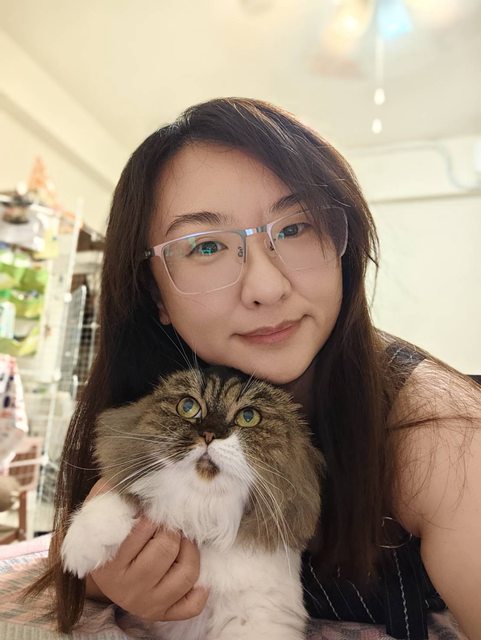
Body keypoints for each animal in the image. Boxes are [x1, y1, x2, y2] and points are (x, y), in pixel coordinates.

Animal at [61, 366, 323, 640]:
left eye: (248, 417)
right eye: (188, 407)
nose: (209, 435)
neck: (203, 515)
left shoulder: (257, 617)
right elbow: (124, 496)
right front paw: (81, 548)